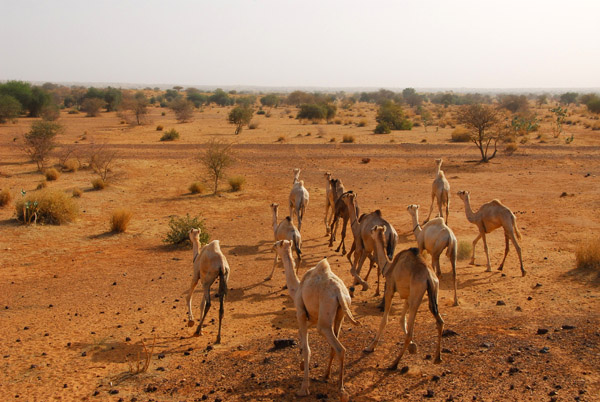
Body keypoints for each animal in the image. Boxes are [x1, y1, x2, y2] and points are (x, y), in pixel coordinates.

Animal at [274, 240, 360, 400]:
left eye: (277, 245)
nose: (273, 246)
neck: (297, 288)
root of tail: (339, 291)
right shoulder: (312, 317)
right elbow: (301, 338)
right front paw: (302, 364)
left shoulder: (301, 313)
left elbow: (307, 348)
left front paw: (303, 388)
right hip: (340, 312)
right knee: (334, 344)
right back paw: (326, 375)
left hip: (324, 316)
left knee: (340, 348)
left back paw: (341, 389)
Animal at [360, 225, 446, 370]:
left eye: (373, 229)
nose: (370, 231)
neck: (388, 266)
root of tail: (429, 276)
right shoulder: (407, 296)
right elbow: (401, 320)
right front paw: (413, 347)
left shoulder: (390, 288)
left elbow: (385, 320)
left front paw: (370, 347)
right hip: (433, 290)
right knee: (439, 321)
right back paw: (437, 358)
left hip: (417, 293)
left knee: (412, 330)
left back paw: (394, 363)